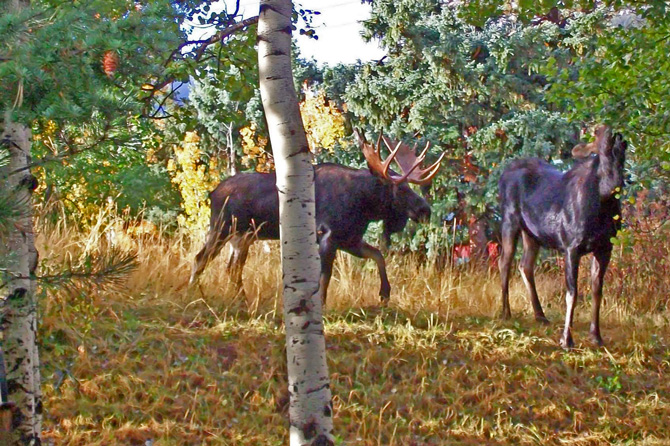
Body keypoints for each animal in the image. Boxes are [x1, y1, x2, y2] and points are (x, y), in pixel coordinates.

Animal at [190, 130, 446, 304]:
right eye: (401, 189)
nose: (425, 210)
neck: (363, 205)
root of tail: (212, 193)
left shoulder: (350, 239)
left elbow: (378, 255)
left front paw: (385, 293)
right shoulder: (328, 236)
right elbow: (325, 277)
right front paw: (322, 308)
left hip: (243, 237)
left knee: (232, 269)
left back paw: (241, 299)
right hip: (222, 228)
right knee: (201, 258)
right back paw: (195, 293)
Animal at [502, 124, 628, 348]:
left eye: (623, 152)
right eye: (599, 138)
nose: (611, 130)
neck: (604, 202)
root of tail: (503, 173)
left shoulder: (605, 248)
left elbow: (597, 291)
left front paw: (596, 336)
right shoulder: (571, 247)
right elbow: (572, 293)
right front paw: (566, 339)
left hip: (532, 235)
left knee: (525, 265)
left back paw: (540, 315)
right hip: (510, 220)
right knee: (505, 263)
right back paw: (505, 312)